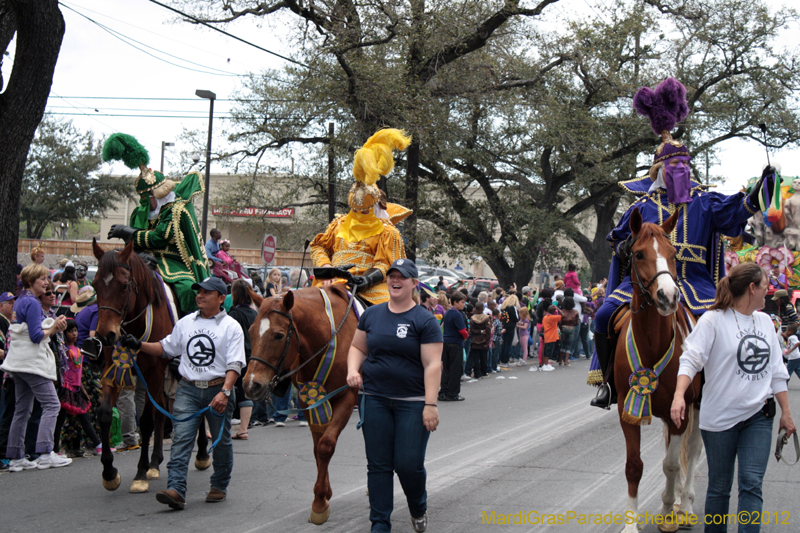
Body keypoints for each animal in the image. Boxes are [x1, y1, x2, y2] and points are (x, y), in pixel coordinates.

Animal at [90, 239, 209, 492]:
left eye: (124, 285)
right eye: (95, 285)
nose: (105, 335)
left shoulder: (153, 371)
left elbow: (145, 421)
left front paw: (140, 473)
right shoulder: (115, 369)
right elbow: (104, 414)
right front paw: (110, 473)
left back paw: (202, 454)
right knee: (162, 408)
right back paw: (156, 462)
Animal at [242, 284, 358, 520]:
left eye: (278, 335)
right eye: (250, 332)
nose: (251, 385)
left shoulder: (347, 397)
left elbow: (325, 445)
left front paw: (319, 502)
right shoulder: (309, 401)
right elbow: (317, 448)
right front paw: (323, 495)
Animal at [616, 209, 704, 532]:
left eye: (673, 253)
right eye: (639, 254)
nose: (668, 296)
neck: (653, 344)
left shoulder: (681, 410)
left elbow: (671, 463)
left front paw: (668, 511)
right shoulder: (627, 408)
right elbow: (634, 466)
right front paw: (631, 523)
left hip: (696, 405)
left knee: (692, 450)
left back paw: (685, 506)